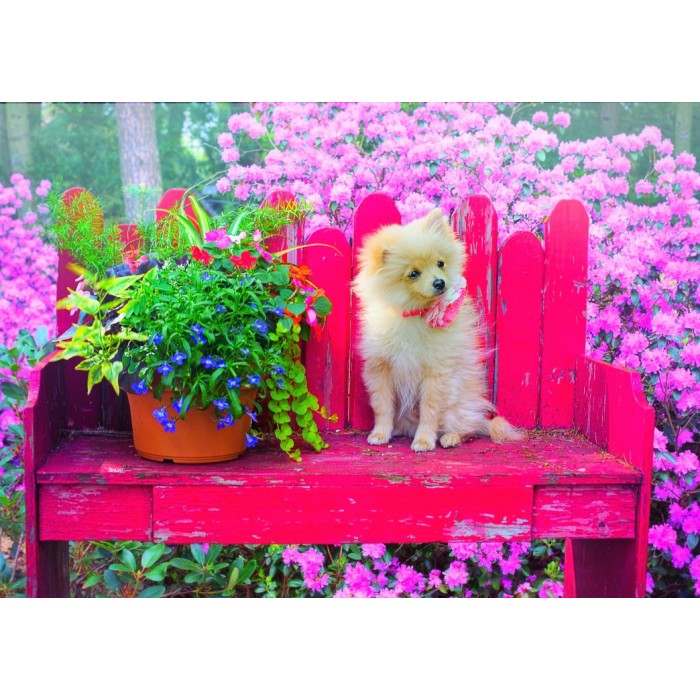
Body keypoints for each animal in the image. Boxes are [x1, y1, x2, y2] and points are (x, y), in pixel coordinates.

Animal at [356, 206, 520, 454]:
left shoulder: (436, 372)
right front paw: (379, 434)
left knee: (466, 428)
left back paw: (451, 437)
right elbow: (382, 405)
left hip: (456, 408)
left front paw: (424, 440)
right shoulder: (380, 368)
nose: (440, 283)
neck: (413, 314)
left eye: (440, 263)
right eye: (413, 273)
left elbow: (429, 410)